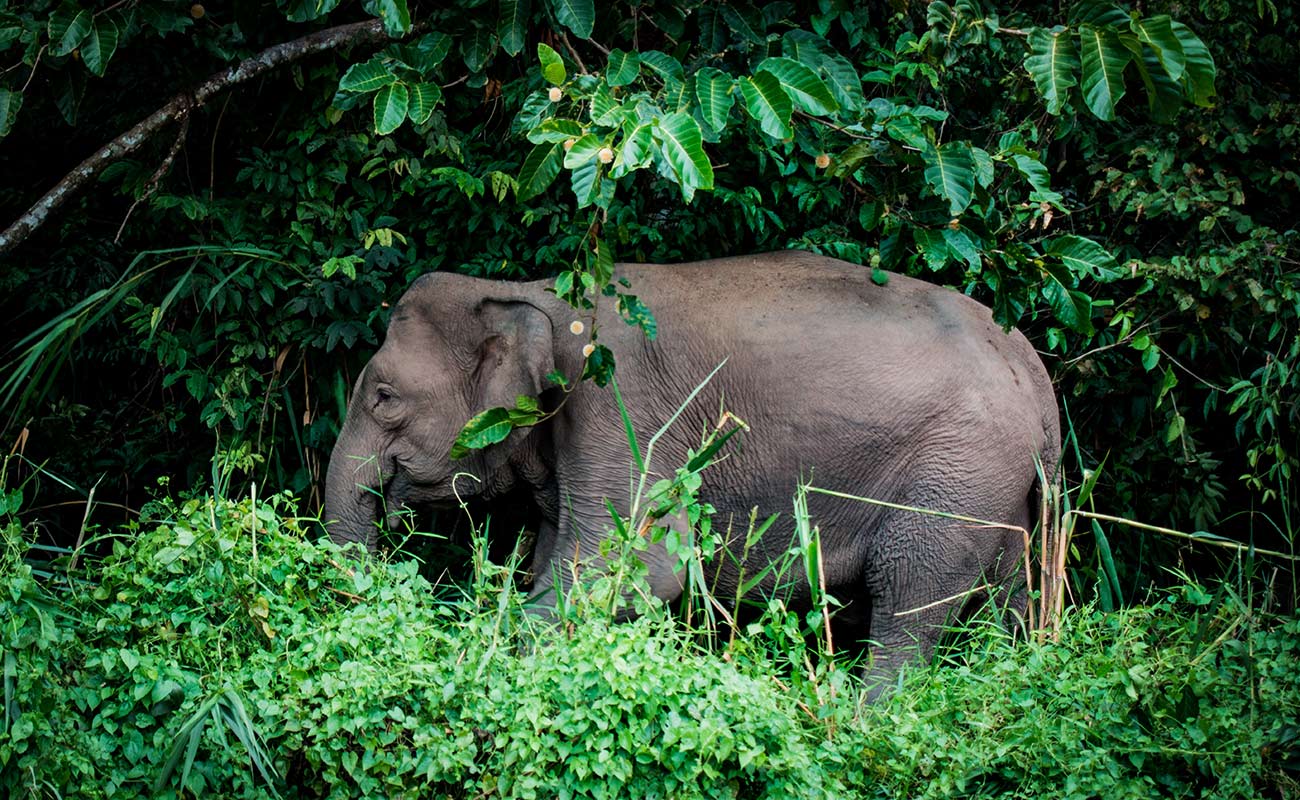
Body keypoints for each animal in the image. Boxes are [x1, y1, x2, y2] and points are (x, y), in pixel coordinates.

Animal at [323, 250, 1060, 688]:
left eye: (384, 397)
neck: (527, 291)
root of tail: (1034, 372)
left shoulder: (620, 407)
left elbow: (634, 568)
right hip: (997, 486)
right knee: (1005, 596)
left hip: (957, 472)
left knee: (908, 596)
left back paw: (863, 721)